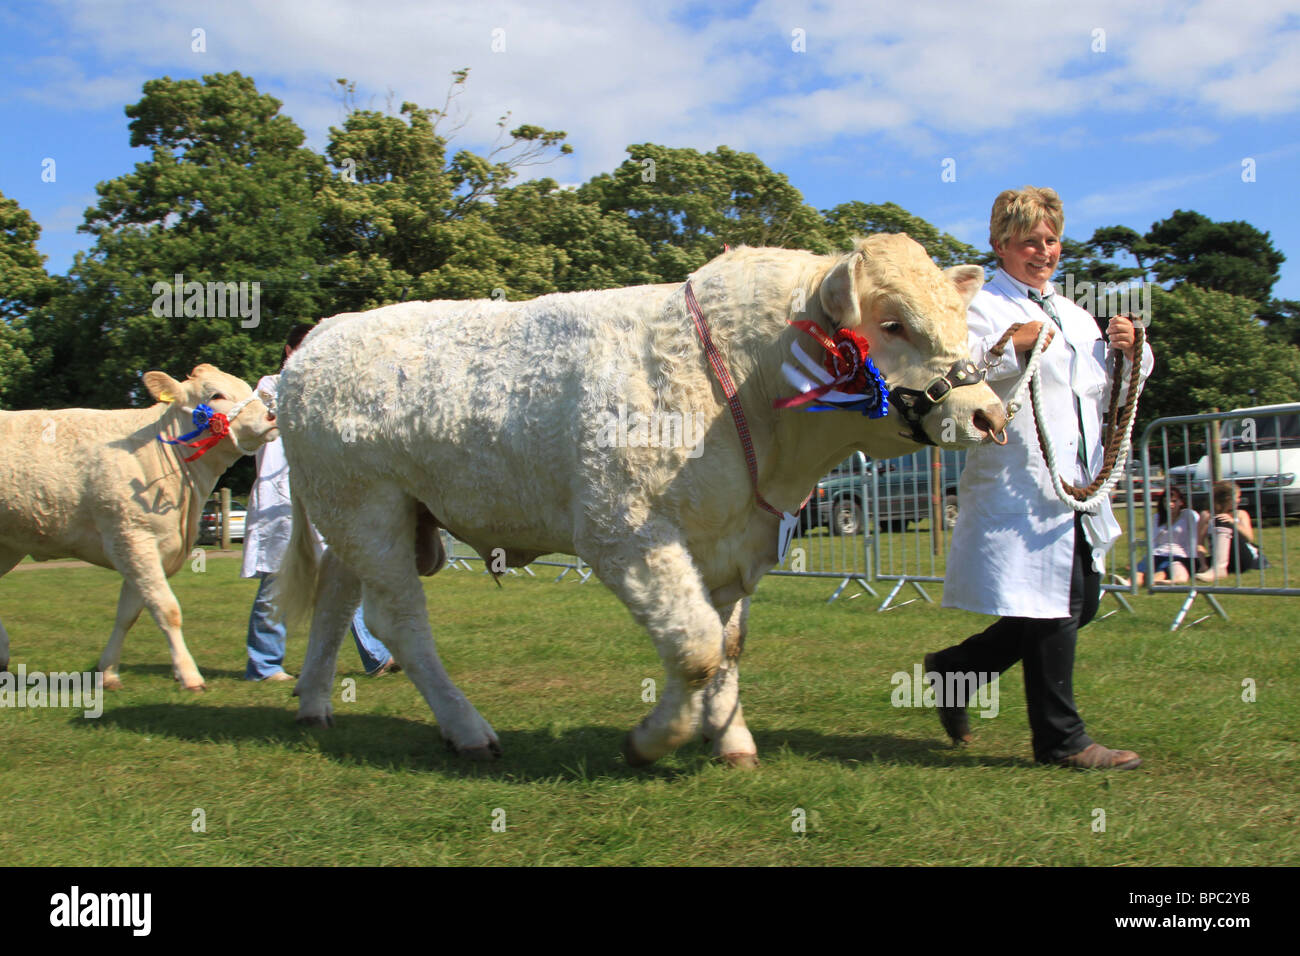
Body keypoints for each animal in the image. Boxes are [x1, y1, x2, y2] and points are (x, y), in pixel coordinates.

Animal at [0, 365, 278, 690]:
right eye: (216, 395)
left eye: (248, 388)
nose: (271, 416)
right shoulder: (133, 539)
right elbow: (167, 609)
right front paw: (189, 674)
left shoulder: (146, 546)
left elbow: (128, 614)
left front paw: (108, 672)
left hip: (8, 545)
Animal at [275, 236, 1008, 766]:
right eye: (893, 323)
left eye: (959, 320)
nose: (989, 415)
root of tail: (321, 335)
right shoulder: (622, 530)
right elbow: (697, 647)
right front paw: (655, 739)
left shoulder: (731, 540)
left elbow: (727, 644)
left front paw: (729, 736)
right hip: (366, 510)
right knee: (399, 620)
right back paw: (467, 729)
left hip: (373, 516)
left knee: (336, 599)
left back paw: (314, 702)